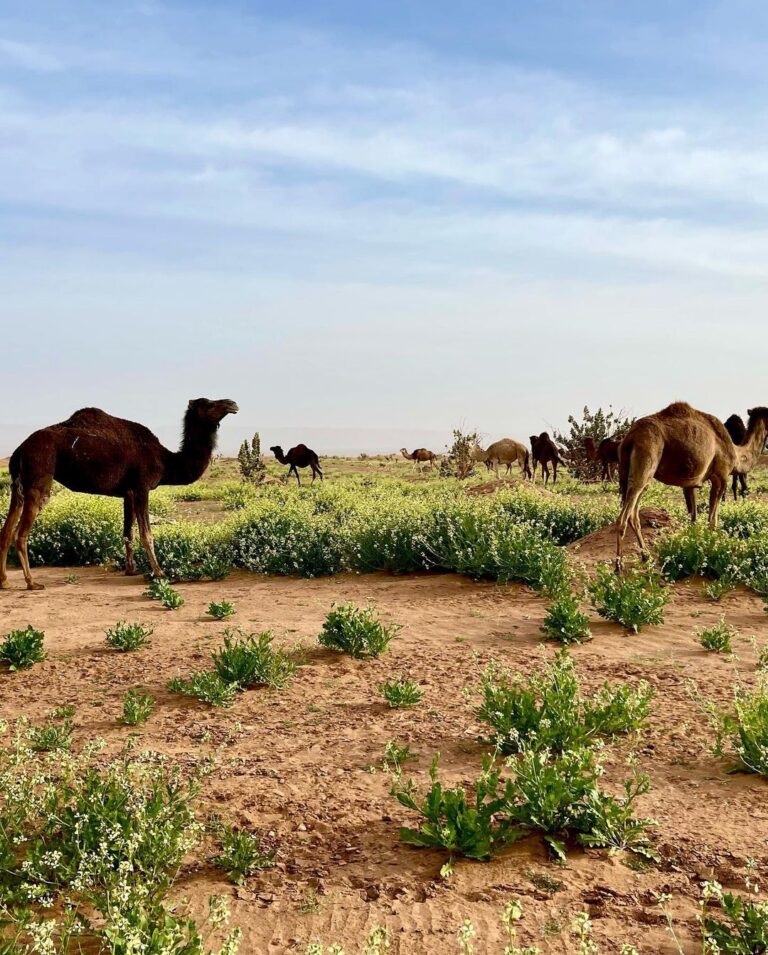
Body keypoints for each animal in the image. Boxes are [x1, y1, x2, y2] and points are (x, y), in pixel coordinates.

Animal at [0, 398, 238, 592]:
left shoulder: (128, 492)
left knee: (6, 530)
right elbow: (146, 534)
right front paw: (160, 573)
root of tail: (19, 450)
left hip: (17, 484)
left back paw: (5, 581)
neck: (166, 460)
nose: (232, 403)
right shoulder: (142, 487)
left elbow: (127, 532)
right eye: (208, 404)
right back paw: (32, 582)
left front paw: (131, 569)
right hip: (40, 476)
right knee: (20, 533)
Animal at [616, 402, 768, 572]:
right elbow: (712, 520)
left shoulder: (689, 483)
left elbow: (693, 518)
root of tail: (630, 437)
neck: (736, 455)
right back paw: (618, 566)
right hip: (646, 459)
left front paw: (694, 546)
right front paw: (711, 549)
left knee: (633, 514)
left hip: (632, 472)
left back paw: (645, 556)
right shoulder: (720, 477)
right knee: (624, 516)